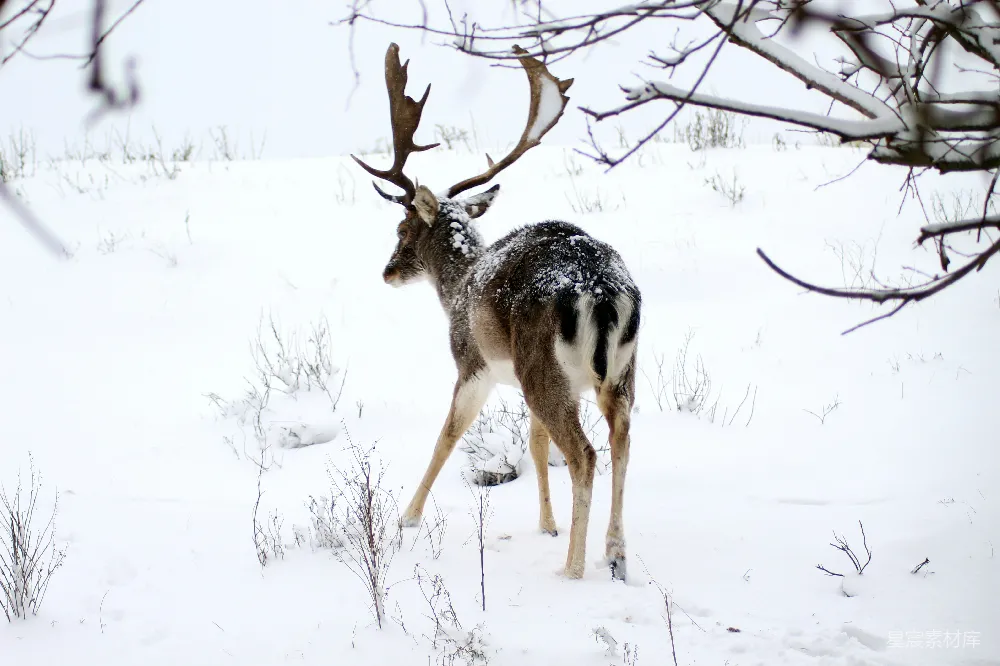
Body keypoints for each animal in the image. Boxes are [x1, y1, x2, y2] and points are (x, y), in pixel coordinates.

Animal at [352, 43, 641, 581]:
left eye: (401, 229)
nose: (388, 272)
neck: (457, 286)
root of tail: (602, 291)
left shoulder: (473, 364)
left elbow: (447, 435)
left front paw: (407, 517)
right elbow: (535, 441)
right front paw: (547, 524)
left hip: (541, 366)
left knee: (585, 455)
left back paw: (572, 568)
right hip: (617, 373)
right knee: (621, 442)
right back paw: (614, 554)